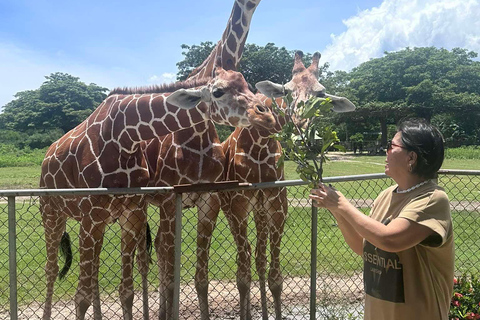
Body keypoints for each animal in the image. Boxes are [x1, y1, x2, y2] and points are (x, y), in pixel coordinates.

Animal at [40, 65, 274, 320]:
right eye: (218, 92)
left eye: (247, 85)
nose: (266, 116)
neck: (124, 137)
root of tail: (46, 155)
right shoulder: (92, 215)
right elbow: (80, 297)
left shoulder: (130, 213)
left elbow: (126, 291)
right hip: (52, 214)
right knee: (52, 269)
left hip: (98, 221)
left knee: (94, 272)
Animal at [141, 1, 262, 318]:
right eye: (217, 91)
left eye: (246, 84)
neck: (196, 134)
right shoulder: (171, 199)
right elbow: (172, 273)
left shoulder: (210, 199)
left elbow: (200, 278)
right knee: (155, 253)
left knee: (159, 248)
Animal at [218, 51, 356, 318]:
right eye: (287, 91)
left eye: (321, 94)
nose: (301, 131)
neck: (260, 145)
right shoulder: (239, 206)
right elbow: (242, 276)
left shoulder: (277, 205)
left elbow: (275, 278)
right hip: (230, 209)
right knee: (246, 257)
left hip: (259, 210)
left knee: (258, 258)